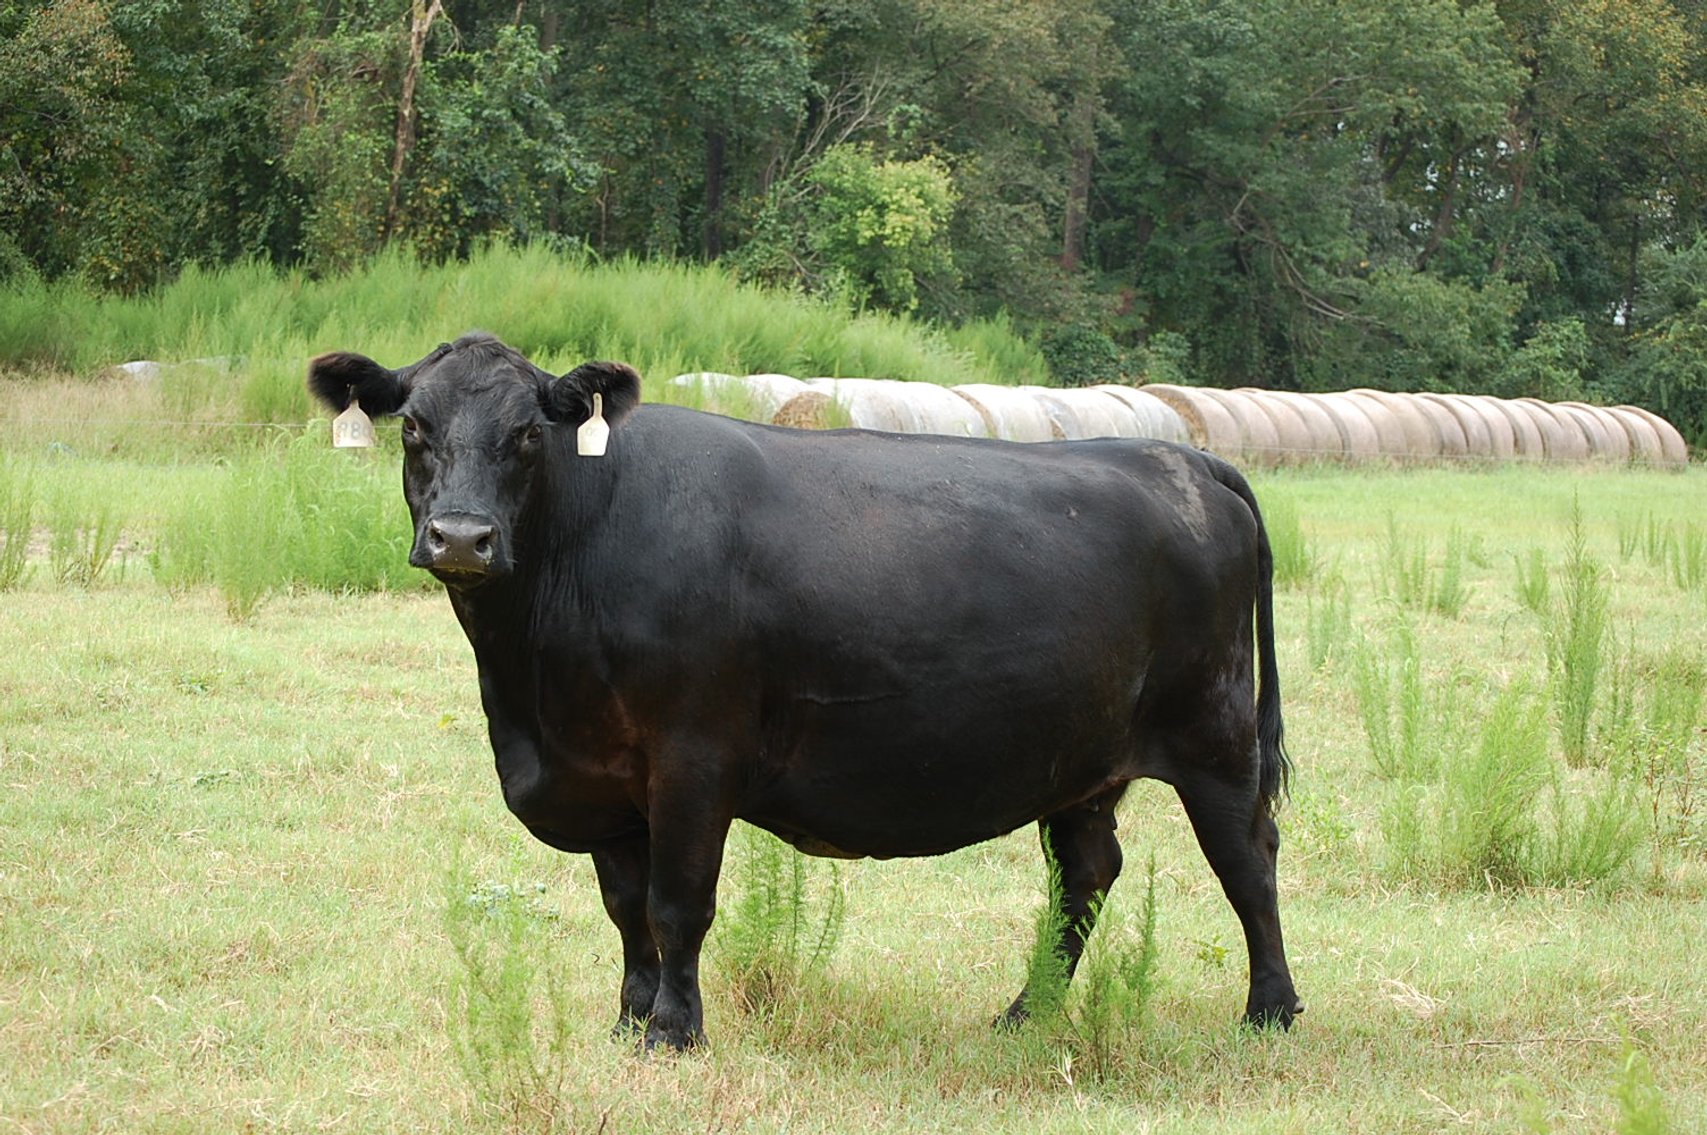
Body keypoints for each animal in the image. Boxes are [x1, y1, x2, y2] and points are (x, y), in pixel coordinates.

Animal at [308, 332, 1302, 1052]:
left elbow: (678, 903)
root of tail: (1178, 458)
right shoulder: (604, 776)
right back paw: (1027, 1013)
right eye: (413, 427)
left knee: (1246, 862)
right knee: (1085, 874)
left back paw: (1268, 1012)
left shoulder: (692, 756)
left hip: (1215, 734)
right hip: (1081, 760)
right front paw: (628, 1021)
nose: (461, 537)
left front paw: (674, 1033)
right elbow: (627, 911)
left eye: (526, 432)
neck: (532, 691)